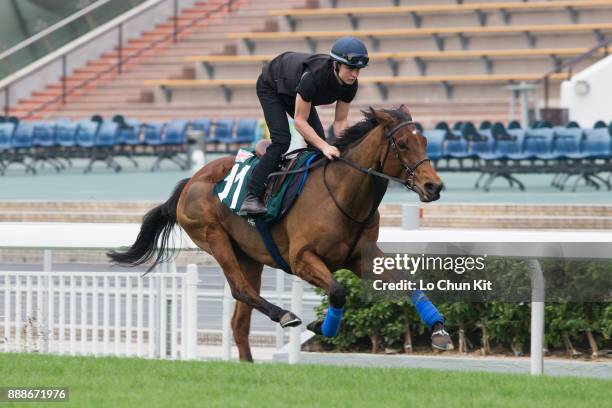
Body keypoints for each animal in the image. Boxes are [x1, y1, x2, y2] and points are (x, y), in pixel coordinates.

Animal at [109, 105, 454, 360]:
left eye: (425, 142)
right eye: (403, 144)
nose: (433, 186)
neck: (342, 194)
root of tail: (190, 181)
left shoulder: (362, 257)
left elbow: (407, 283)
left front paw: (439, 330)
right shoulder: (301, 259)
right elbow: (338, 292)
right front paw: (321, 326)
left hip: (249, 256)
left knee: (239, 323)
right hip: (213, 235)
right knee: (240, 290)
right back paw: (286, 314)